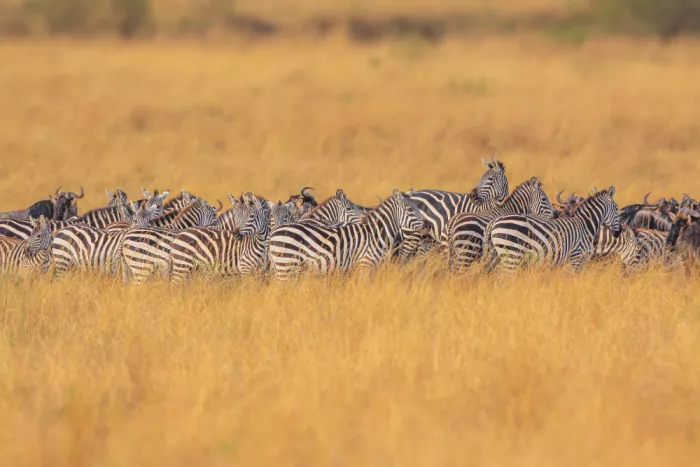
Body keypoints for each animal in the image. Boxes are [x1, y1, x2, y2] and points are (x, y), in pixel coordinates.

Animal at [269, 188, 428, 281]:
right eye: (411, 210)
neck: (375, 234)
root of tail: (274, 233)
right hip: (286, 266)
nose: (428, 224)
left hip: (282, 267)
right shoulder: (365, 265)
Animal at [484, 187, 621, 274]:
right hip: (512, 255)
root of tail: (493, 222)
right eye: (617, 209)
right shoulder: (576, 257)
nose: (619, 232)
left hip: (498, 256)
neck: (585, 225)